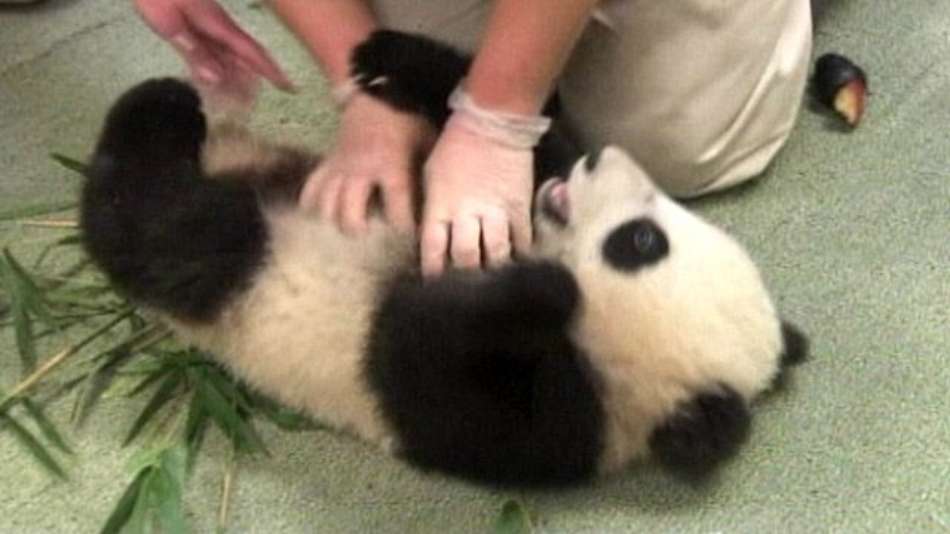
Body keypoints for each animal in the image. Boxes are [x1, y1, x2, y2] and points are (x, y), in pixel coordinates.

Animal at [80, 31, 807, 488]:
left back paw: (157, 107)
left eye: (640, 244)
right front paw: (391, 57)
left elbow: (410, 345)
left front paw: (546, 288)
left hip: (249, 271)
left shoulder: (543, 430)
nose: (602, 157)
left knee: (164, 232)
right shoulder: (500, 207)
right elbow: (517, 147)